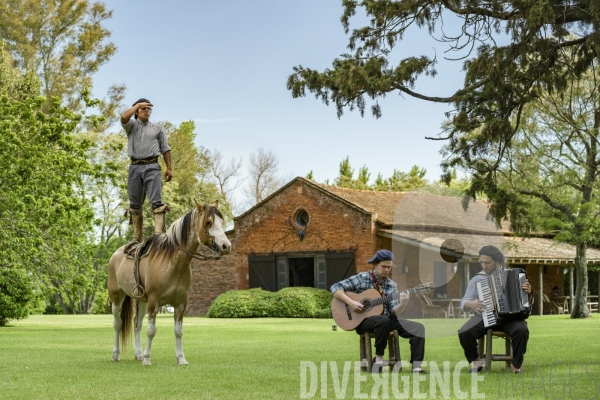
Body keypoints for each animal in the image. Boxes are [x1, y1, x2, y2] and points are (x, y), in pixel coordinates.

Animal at [106, 198, 231, 364]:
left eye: (222, 222)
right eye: (208, 222)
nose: (226, 246)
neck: (171, 261)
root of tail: (116, 254)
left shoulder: (180, 303)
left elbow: (178, 331)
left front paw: (181, 358)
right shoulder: (154, 301)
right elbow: (151, 331)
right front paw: (147, 359)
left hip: (141, 300)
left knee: (137, 324)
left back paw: (138, 354)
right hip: (117, 297)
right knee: (117, 324)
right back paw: (116, 355)